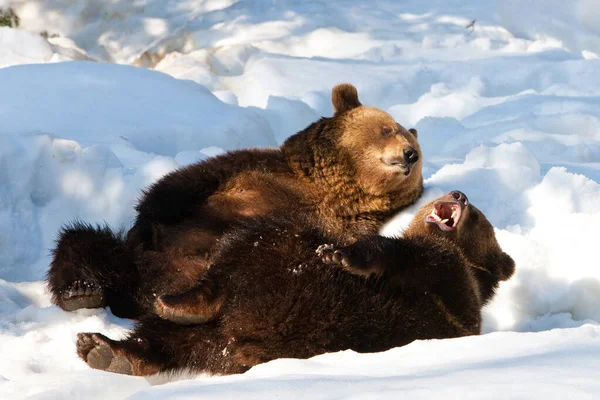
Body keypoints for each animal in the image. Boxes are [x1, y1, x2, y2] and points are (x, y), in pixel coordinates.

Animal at [47, 83, 424, 320]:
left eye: (413, 145)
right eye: (388, 128)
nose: (409, 154)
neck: (332, 187)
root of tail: (145, 292)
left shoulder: (340, 222)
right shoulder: (241, 171)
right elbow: (169, 191)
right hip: (130, 260)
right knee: (83, 242)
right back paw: (81, 292)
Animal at [75, 192, 516, 376]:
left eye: (478, 216)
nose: (460, 193)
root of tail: (240, 339)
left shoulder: (445, 278)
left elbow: (397, 255)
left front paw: (343, 254)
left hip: (281, 277)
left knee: (248, 246)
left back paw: (174, 304)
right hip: (225, 336)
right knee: (167, 340)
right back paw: (104, 350)